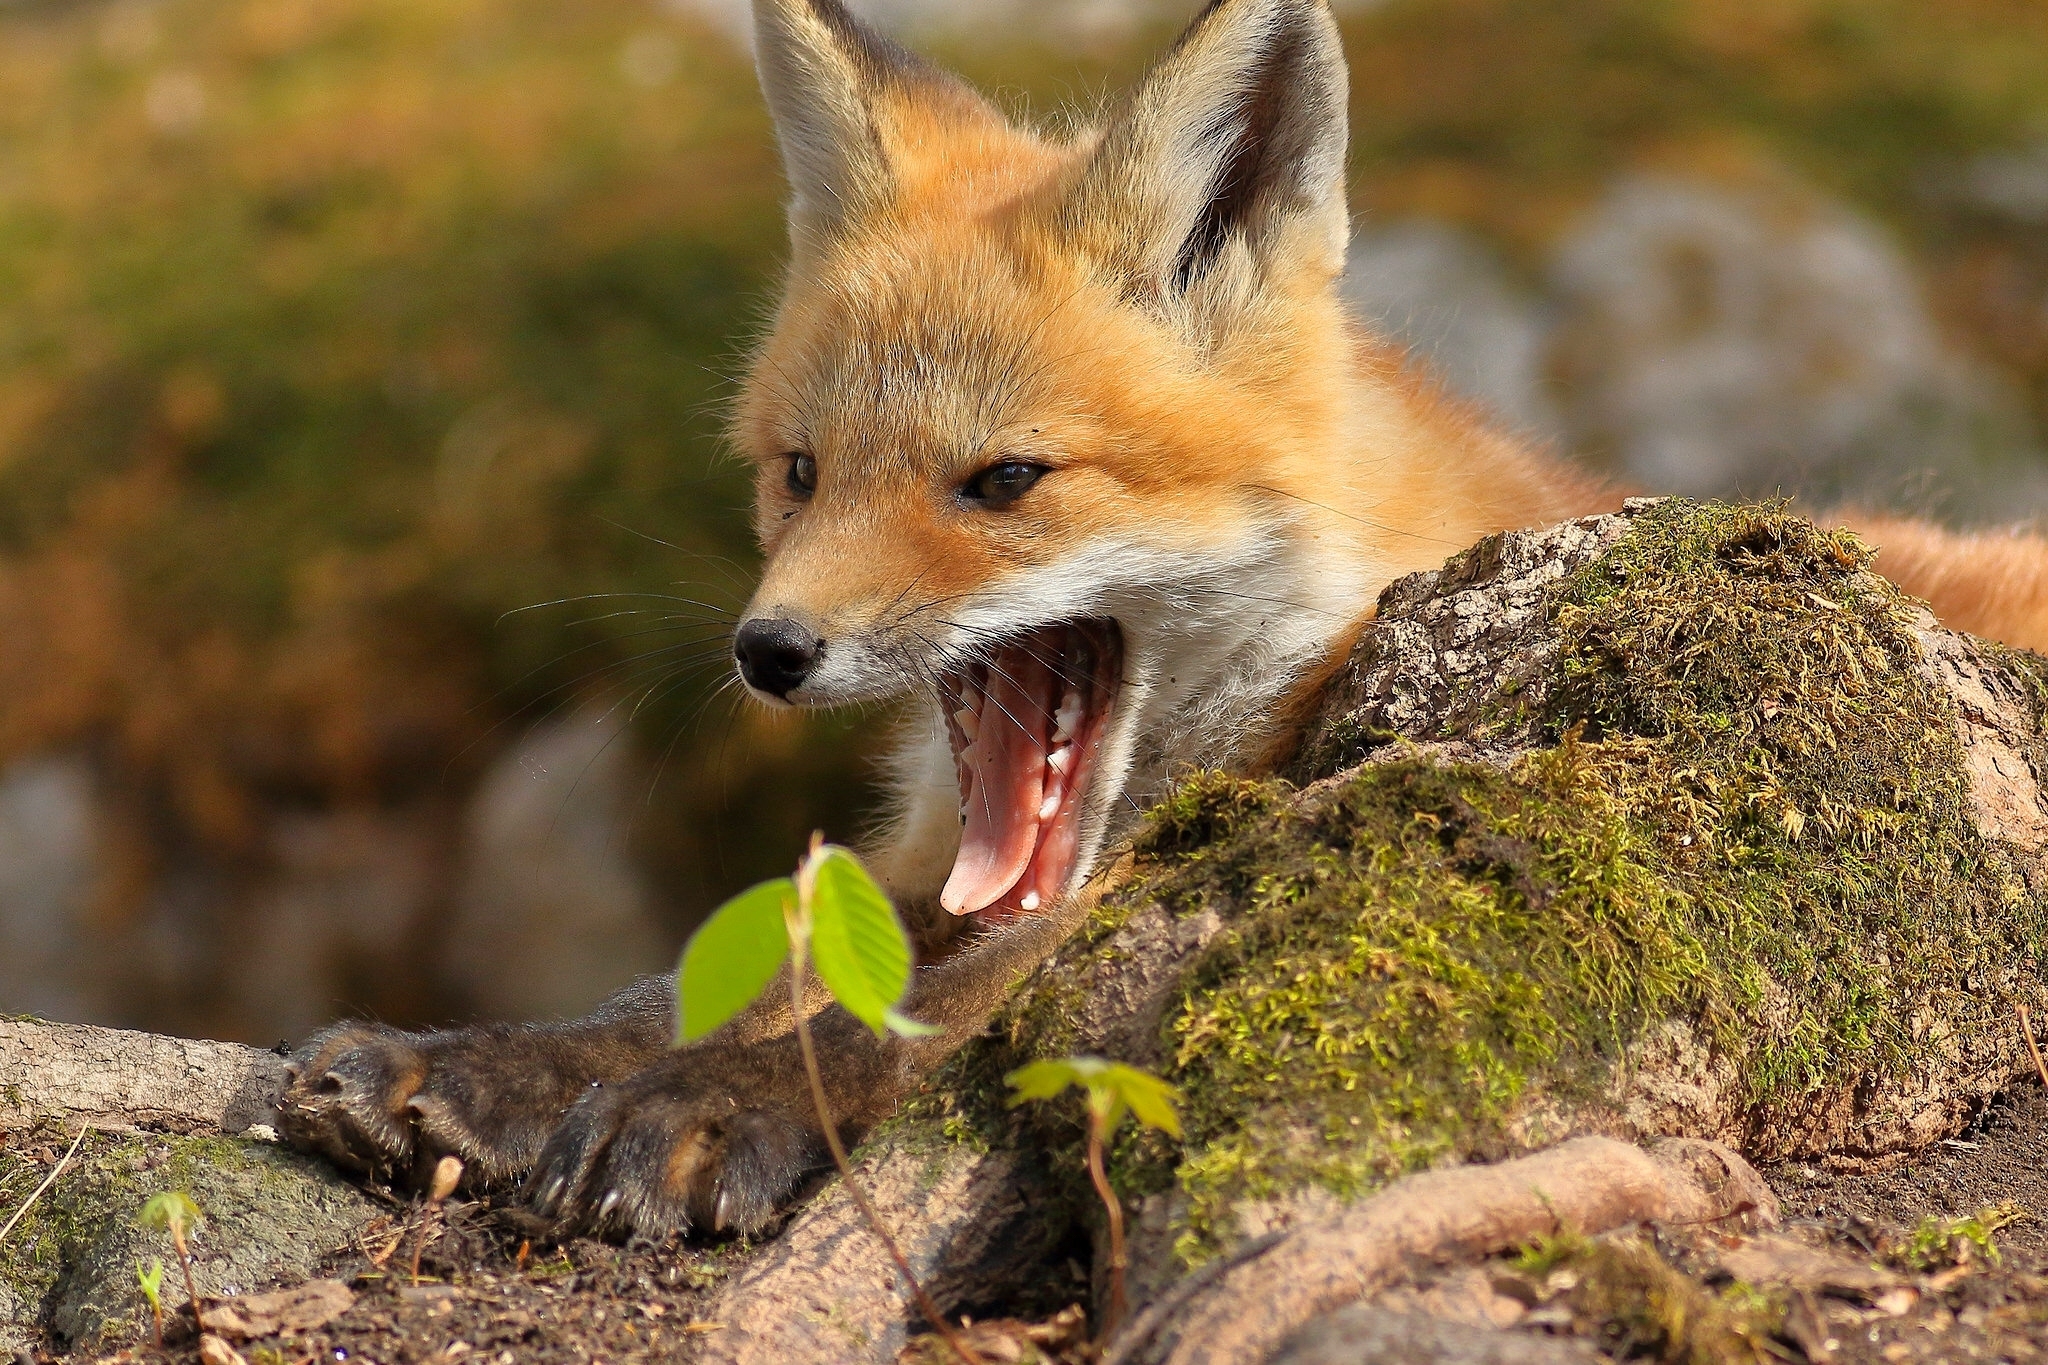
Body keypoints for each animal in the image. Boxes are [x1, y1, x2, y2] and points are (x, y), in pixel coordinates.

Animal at [280, 0, 2048, 1236]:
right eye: (799, 473)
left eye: (1003, 480)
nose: (768, 652)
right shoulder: (916, 865)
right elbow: (714, 969)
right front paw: (489, 1063)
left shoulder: (1241, 823)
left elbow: (959, 998)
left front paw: (719, 1103)